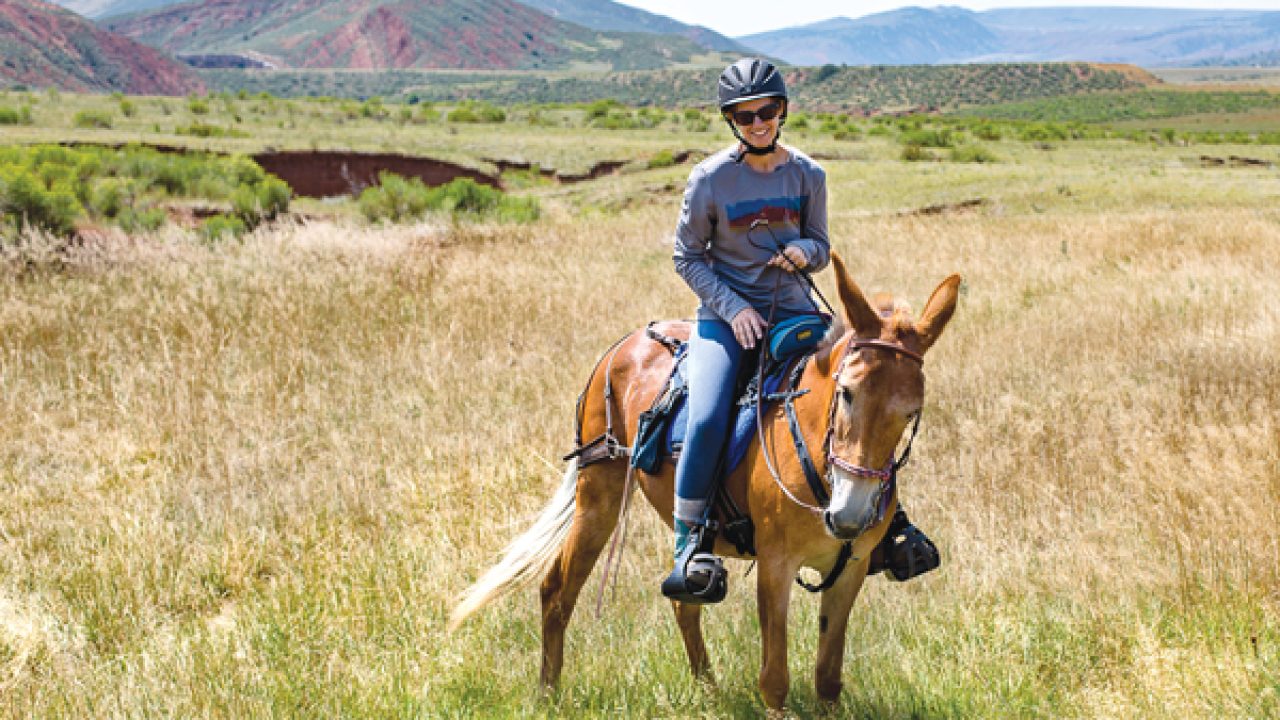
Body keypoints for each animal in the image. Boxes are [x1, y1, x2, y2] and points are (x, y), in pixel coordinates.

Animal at [449, 252, 961, 711]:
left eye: (911, 413)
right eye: (848, 393)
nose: (850, 515)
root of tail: (623, 344)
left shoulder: (849, 568)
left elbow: (828, 679)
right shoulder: (775, 567)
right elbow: (774, 679)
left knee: (684, 599)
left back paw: (710, 696)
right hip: (599, 498)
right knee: (557, 590)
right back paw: (548, 694)